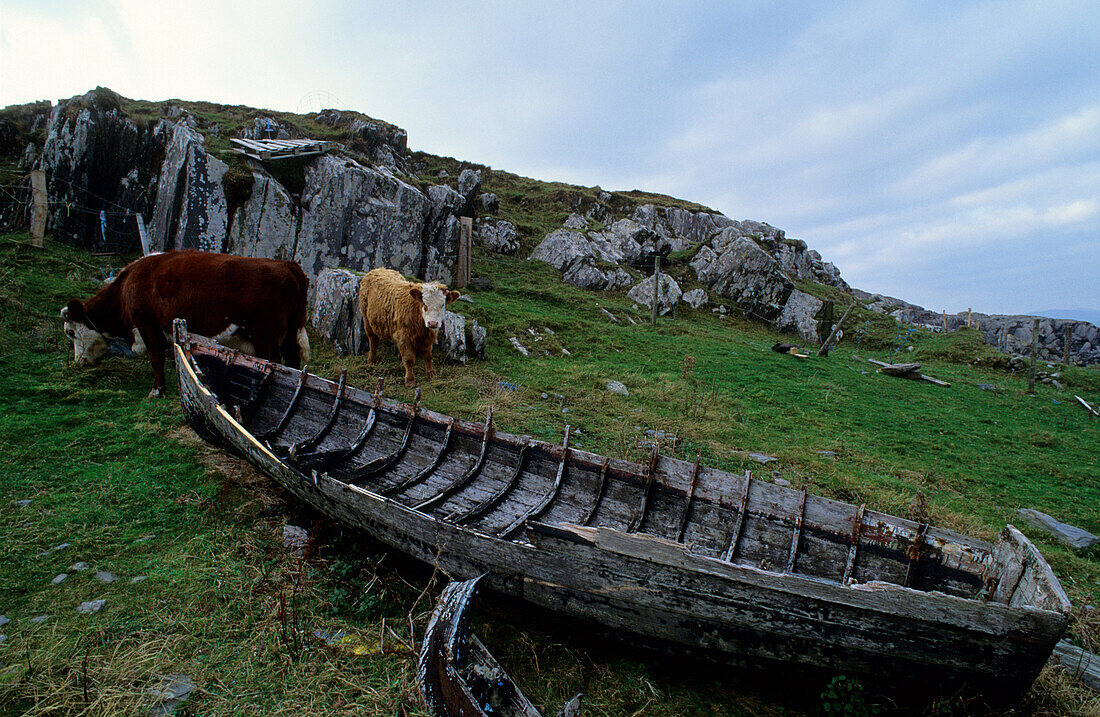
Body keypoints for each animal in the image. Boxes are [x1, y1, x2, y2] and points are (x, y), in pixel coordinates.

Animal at [63, 250, 310, 398]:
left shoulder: (148, 325)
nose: (78, 362)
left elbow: (156, 358)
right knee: (293, 362)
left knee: (277, 365)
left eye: (71, 333)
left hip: (265, 335)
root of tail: (286, 264)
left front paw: (157, 390)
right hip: (288, 334)